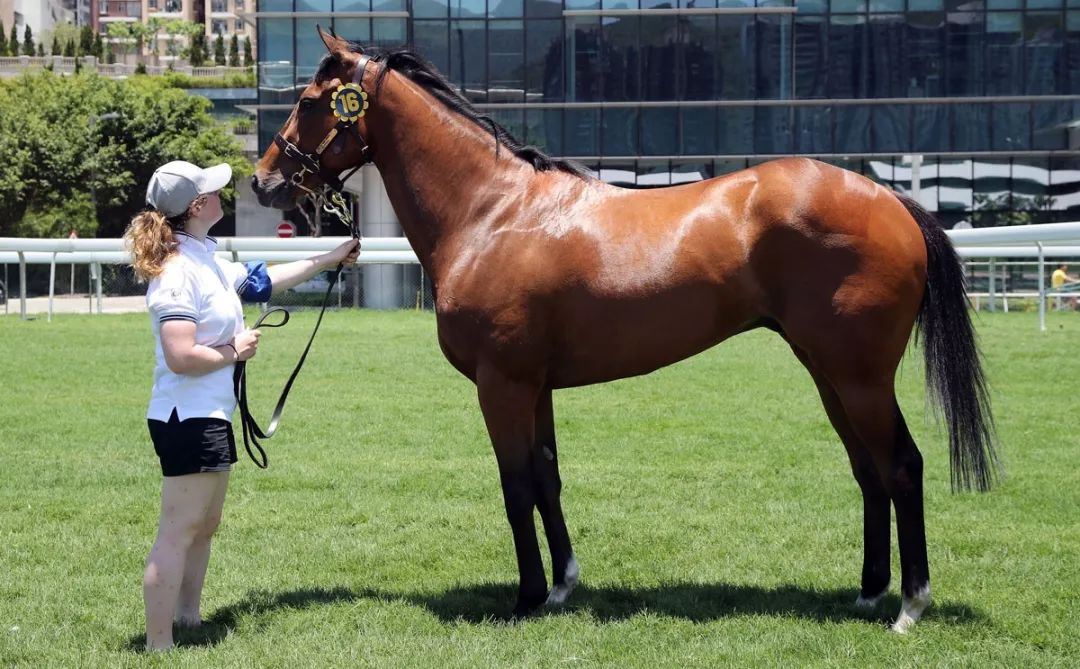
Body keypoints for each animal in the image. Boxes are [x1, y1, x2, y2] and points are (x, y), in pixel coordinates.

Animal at [252, 27, 998, 632]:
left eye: (312, 101)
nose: (263, 181)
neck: (493, 212)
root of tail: (895, 201)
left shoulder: (502, 384)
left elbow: (515, 486)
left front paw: (526, 598)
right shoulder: (535, 386)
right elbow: (547, 478)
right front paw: (562, 587)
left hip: (859, 376)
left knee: (901, 466)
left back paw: (909, 606)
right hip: (827, 372)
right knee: (868, 470)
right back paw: (870, 593)